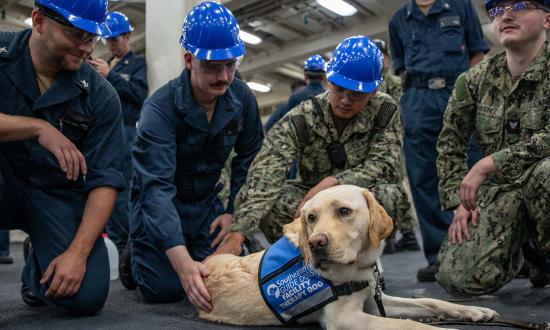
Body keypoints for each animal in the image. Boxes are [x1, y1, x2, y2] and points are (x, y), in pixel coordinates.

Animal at [202, 186, 500, 330]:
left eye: (344, 211)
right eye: (311, 218)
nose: (316, 243)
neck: (359, 265)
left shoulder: (374, 300)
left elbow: (430, 302)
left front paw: (474, 311)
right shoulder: (344, 318)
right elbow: (410, 325)